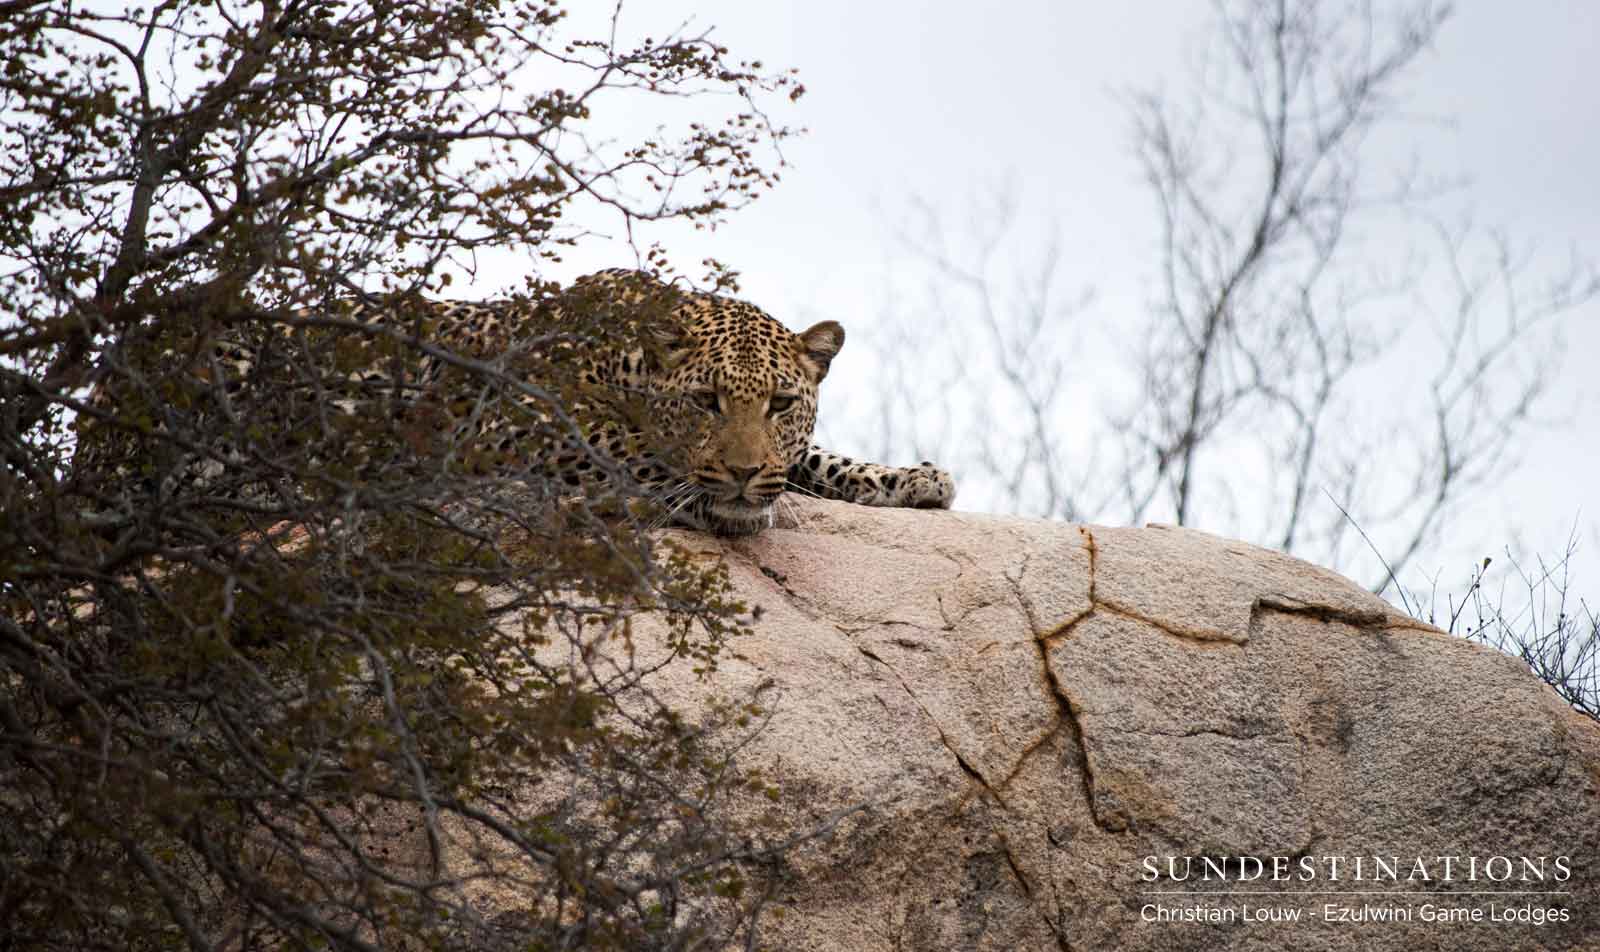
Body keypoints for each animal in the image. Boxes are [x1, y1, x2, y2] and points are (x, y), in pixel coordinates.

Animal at [76, 269, 956, 537]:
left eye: (780, 403)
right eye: (706, 401)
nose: (741, 474)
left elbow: (813, 460)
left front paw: (912, 478)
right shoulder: (514, 431)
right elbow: (630, 456)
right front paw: (712, 495)